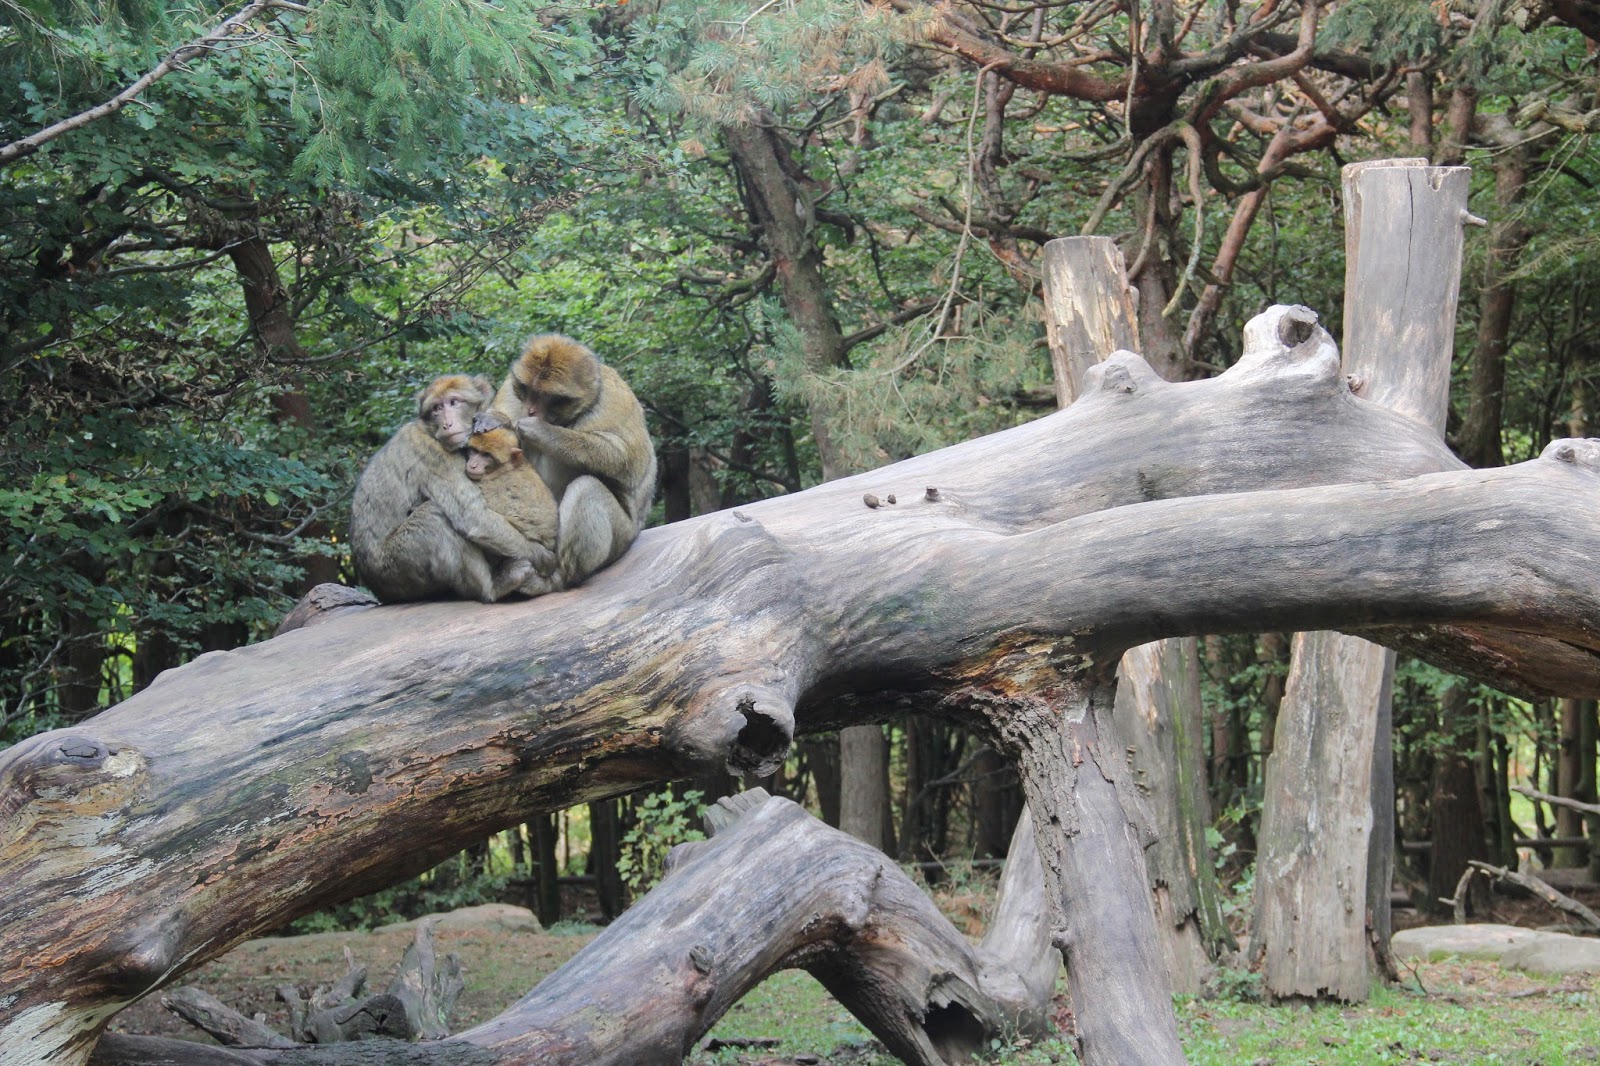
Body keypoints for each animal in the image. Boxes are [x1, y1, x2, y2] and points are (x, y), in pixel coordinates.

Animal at [350, 374, 541, 603]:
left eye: (453, 402)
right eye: (436, 408)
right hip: (395, 569)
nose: (447, 424)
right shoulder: (434, 455)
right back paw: (492, 588)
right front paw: (545, 556)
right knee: (434, 516)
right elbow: (473, 517)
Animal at [490, 334, 657, 587]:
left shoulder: (614, 400)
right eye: (529, 390)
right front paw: (491, 419)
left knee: (587, 488)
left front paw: (542, 431)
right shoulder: (511, 389)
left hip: (622, 537)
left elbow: (626, 459)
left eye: (550, 397)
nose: (531, 410)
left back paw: (560, 577)